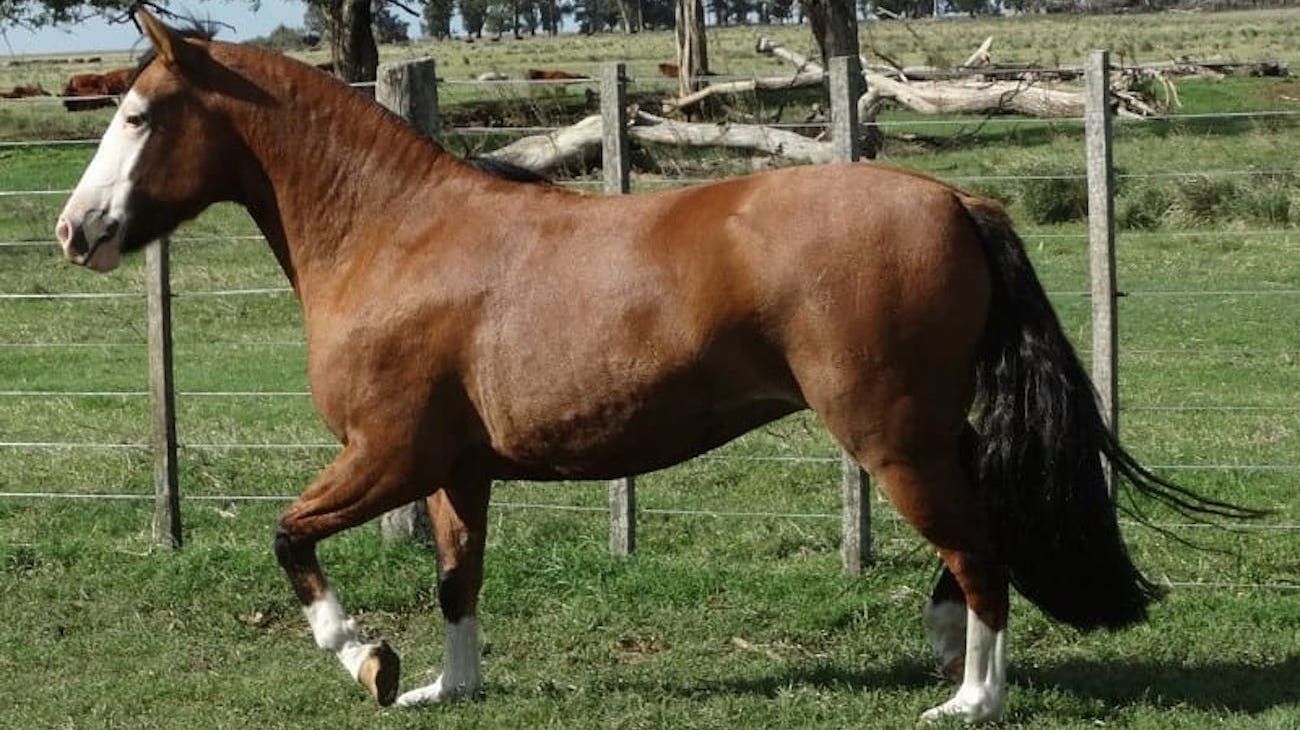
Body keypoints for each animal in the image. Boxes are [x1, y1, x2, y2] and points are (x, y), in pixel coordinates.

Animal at [56, 10, 1256, 723]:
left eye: (139, 114)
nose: (75, 231)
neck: (395, 235)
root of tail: (956, 199)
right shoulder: (455, 469)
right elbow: (456, 577)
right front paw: (446, 682)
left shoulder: (385, 454)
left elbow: (289, 536)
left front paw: (365, 657)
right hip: (927, 431)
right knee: (979, 526)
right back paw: (943, 643)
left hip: (890, 436)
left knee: (978, 545)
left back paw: (971, 697)